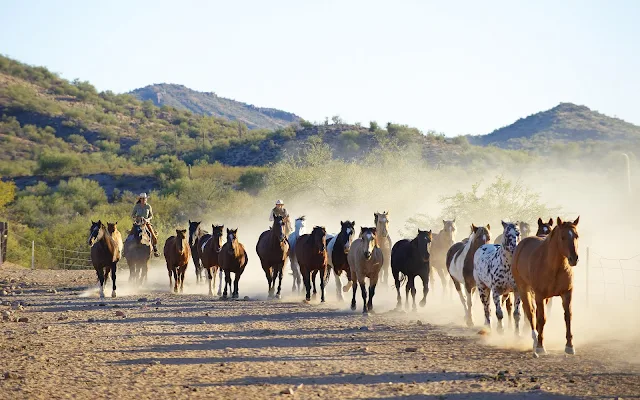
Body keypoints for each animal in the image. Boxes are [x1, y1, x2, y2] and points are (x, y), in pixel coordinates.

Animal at [512, 217, 584, 358]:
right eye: (562, 237)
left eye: (577, 236)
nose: (574, 259)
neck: (554, 266)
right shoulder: (539, 295)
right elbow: (541, 318)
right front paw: (540, 346)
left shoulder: (567, 293)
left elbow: (568, 317)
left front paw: (569, 346)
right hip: (524, 289)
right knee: (530, 313)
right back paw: (535, 340)